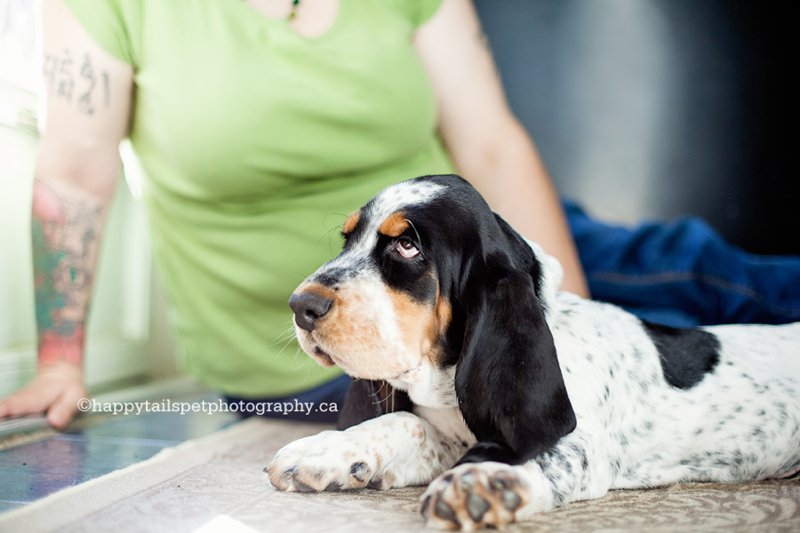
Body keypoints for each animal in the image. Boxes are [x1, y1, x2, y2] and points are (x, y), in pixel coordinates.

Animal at [268, 174, 800, 528]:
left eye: (407, 247)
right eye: (347, 239)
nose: (299, 305)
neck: (444, 376)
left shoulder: (580, 446)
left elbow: (532, 454)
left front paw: (481, 485)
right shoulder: (448, 432)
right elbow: (402, 424)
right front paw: (324, 452)